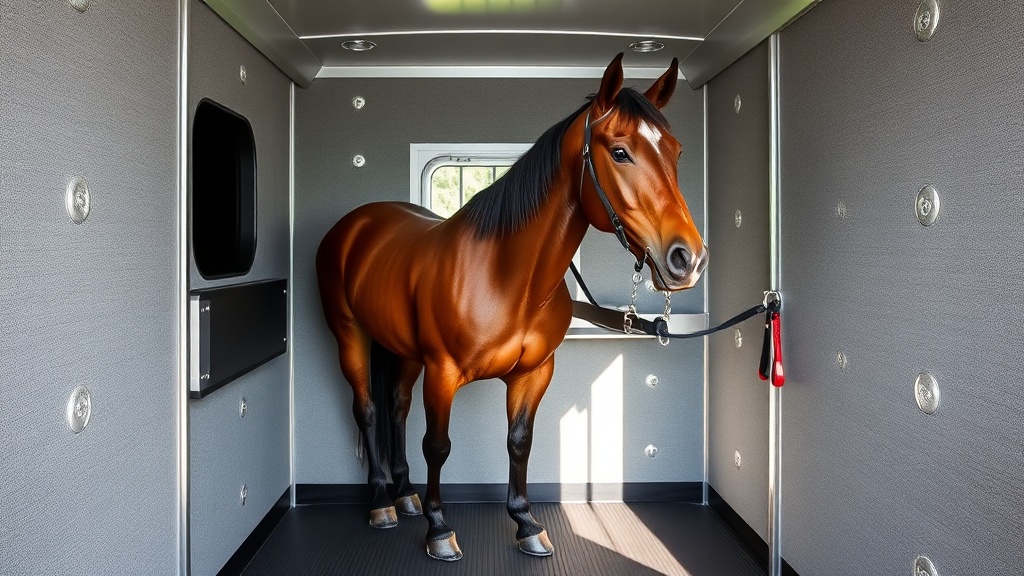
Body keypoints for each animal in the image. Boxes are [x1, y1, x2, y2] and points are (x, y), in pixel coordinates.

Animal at [315, 53, 707, 561]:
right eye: (620, 152)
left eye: (676, 152)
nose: (688, 259)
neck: (508, 279)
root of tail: (356, 225)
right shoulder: (443, 373)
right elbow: (437, 446)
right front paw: (439, 530)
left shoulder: (533, 373)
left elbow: (519, 442)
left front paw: (526, 524)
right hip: (350, 335)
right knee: (366, 410)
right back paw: (383, 502)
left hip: (403, 351)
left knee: (396, 407)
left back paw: (404, 495)